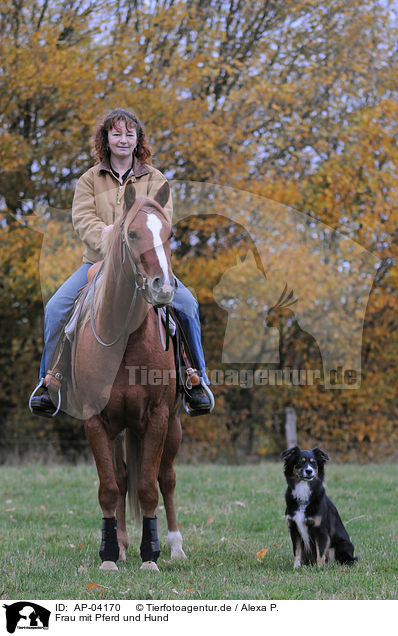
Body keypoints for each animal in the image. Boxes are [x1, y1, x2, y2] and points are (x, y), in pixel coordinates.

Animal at [71, 180, 187, 572]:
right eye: (132, 233)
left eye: (169, 234)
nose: (163, 288)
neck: (125, 338)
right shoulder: (95, 420)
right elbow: (109, 487)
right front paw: (109, 555)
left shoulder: (158, 417)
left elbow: (149, 487)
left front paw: (150, 556)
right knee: (121, 480)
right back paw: (120, 544)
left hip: (174, 426)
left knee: (167, 479)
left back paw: (175, 546)